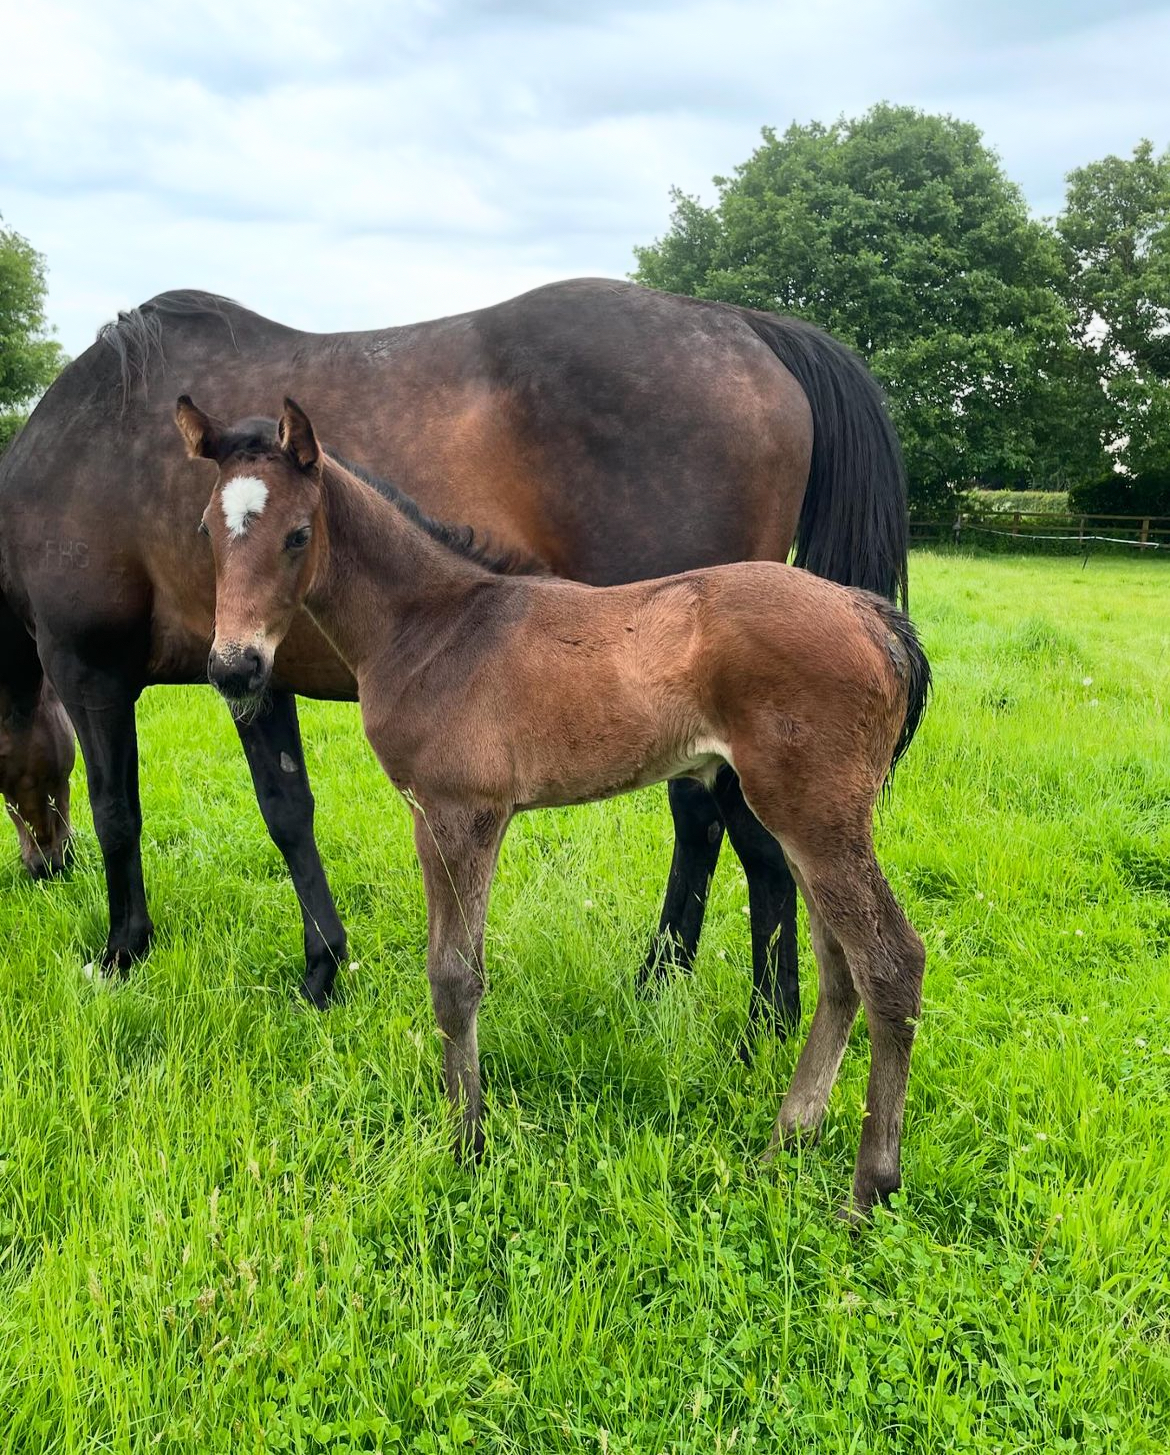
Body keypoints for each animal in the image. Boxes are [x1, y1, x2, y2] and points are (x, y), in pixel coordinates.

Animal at [0, 279, 907, 1043]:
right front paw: (324, 968)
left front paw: (122, 949)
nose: (45, 866)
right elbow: (288, 813)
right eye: (204, 532)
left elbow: (118, 812)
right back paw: (665, 979)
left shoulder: (90, 670)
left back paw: (751, 1013)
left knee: (724, 828)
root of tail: (743, 324)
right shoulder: (255, 678)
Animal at [178, 395, 928, 1216]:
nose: (235, 667)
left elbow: (454, 978)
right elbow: (449, 971)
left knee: (890, 962)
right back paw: (785, 1141)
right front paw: (460, 1125)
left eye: (297, 534)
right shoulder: (439, 816)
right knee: (841, 966)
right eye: (207, 531)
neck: (435, 627)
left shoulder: (462, 815)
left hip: (815, 812)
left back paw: (869, 1187)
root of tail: (869, 614)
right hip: (807, 819)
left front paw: (468, 1145)